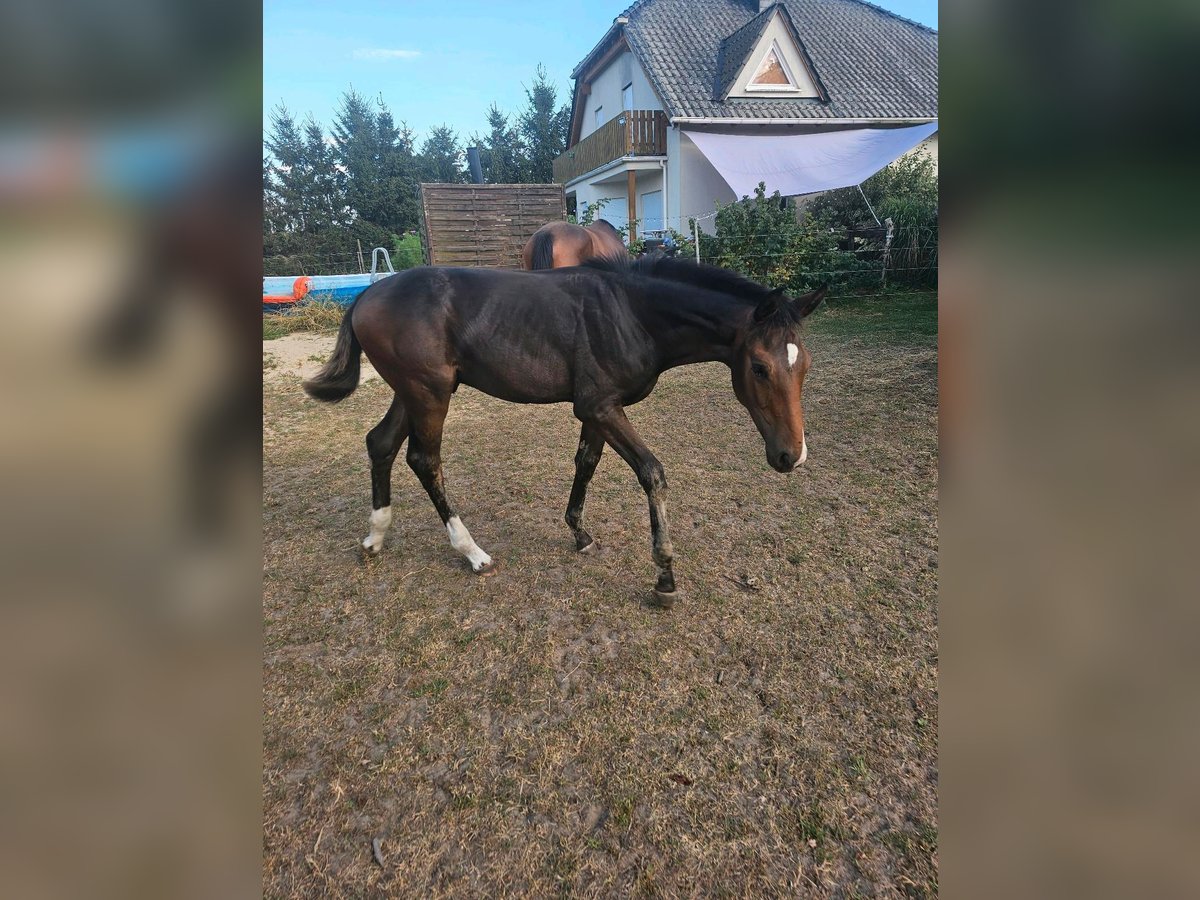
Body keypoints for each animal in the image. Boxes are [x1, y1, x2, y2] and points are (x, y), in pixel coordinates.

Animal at [302, 255, 825, 607]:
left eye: (804, 364)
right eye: (759, 367)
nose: (791, 456)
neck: (633, 312)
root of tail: (366, 295)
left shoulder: (598, 410)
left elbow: (586, 464)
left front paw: (580, 533)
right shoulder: (601, 407)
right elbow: (652, 473)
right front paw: (665, 577)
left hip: (412, 392)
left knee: (381, 444)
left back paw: (375, 538)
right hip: (428, 394)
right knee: (424, 460)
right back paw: (472, 552)